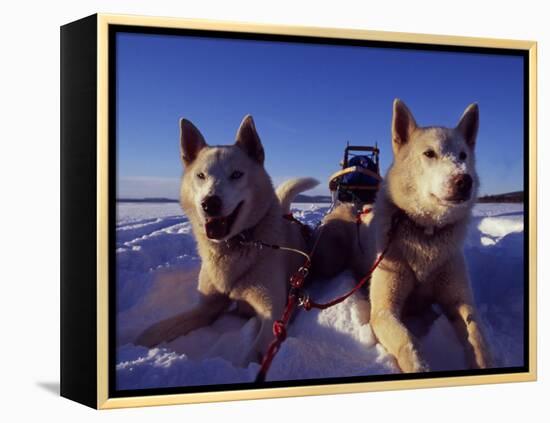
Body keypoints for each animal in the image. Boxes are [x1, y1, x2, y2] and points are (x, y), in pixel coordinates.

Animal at [136, 115, 320, 364]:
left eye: (236, 174)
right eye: (201, 176)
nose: (210, 203)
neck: (237, 244)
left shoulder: (272, 313)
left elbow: (253, 356)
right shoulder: (207, 306)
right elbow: (158, 328)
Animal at [370, 100, 496, 374]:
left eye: (463, 155)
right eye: (429, 154)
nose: (464, 180)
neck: (427, 233)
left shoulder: (460, 300)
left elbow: (477, 334)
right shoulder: (384, 309)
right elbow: (409, 341)